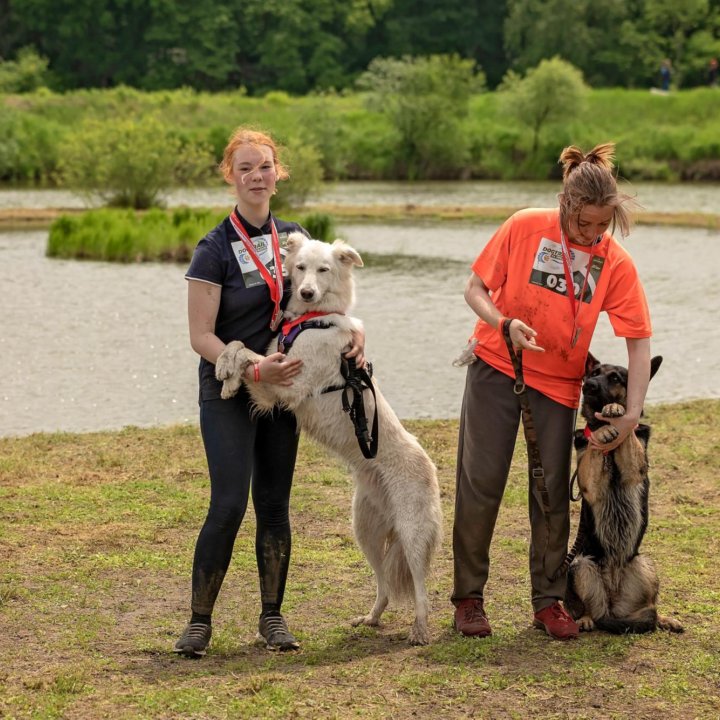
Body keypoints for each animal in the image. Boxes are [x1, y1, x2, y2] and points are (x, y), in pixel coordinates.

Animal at [214, 236, 442, 648]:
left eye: (324, 270)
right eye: (300, 267)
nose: (306, 292)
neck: (311, 319)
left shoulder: (289, 384)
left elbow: (248, 354)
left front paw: (227, 371)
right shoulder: (274, 380)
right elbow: (241, 347)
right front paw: (227, 370)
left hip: (413, 533)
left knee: (421, 588)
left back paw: (419, 630)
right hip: (365, 530)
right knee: (384, 585)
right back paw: (371, 618)